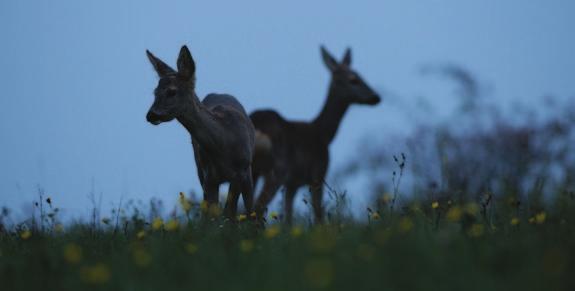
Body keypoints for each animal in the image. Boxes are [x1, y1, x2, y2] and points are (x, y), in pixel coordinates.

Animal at [146, 45, 256, 219]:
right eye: (155, 92)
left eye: (172, 91)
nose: (151, 115)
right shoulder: (209, 177)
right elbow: (213, 216)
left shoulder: (243, 171)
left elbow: (240, 212)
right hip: (200, 170)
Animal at [253, 45, 382, 225]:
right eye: (354, 79)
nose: (376, 97)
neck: (323, 134)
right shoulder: (318, 174)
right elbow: (318, 213)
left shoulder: (293, 184)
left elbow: (288, 217)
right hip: (276, 169)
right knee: (257, 206)